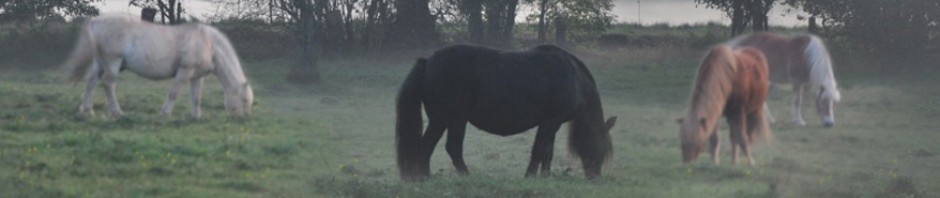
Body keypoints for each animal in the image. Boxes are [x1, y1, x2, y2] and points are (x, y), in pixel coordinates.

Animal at [62, 15, 253, 117]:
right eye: (244, 100)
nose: (242, 118)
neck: (209, 43)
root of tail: (96, 21)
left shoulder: (197, 77)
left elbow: (196, 97)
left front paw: (196, 116)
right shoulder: (184, 71)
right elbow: (174, 92)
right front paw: (165, 113)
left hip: (100, 63)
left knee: (91, 82)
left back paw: (87, 110)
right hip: (112, 62)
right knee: (108, 84)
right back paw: (117, 112)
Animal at [394, 44, 616, 181]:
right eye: (602, 146)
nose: (595, 177)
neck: (574, 77)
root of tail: (427, 62)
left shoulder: (553, 123)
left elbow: (548, 152)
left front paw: (545, 177)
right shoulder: (549, 121)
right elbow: (539, 150)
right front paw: (530, 177)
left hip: (439, 120)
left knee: (426, 148)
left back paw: (424, 179)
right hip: (453, 119)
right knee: (452, 148)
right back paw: (465, 176)